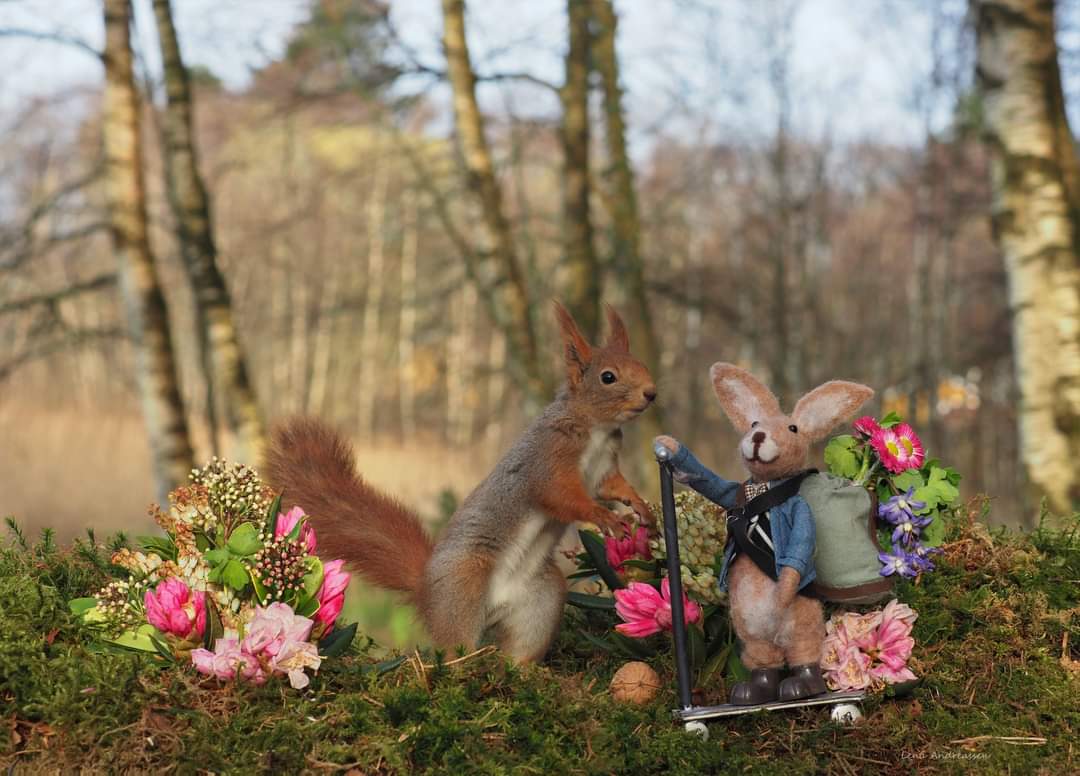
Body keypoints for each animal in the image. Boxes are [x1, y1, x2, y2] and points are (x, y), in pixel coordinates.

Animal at [264, 302, 652, 660]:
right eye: (608, 377)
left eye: (642, 365)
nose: (651, 393)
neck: (596, 428)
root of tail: (427, 591)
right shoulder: (547, 462)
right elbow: (564, 497)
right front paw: (605, 516)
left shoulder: (605, 468)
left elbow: (613, 487)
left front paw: (641, 506)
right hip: (463, 584)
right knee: (455, 647)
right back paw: (463, 665)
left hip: (542, 599)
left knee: (520, 647)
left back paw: (524, 671)